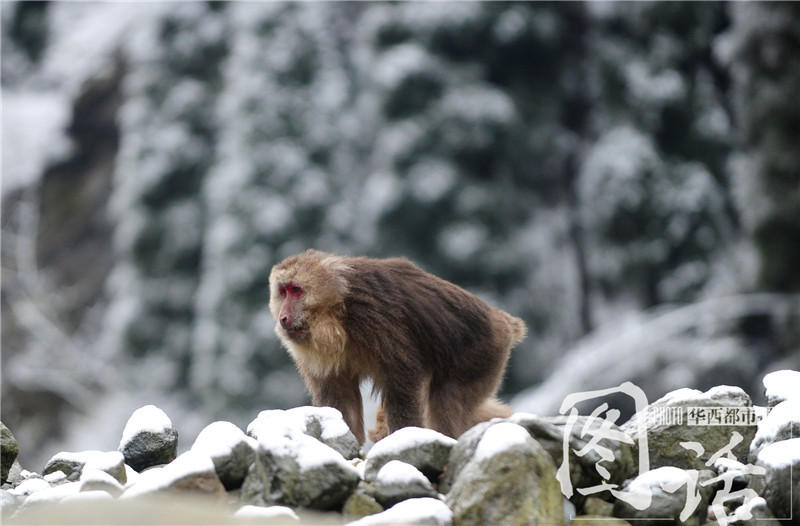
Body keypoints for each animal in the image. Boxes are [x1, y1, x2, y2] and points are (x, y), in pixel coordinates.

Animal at [272, 250, 528, 444]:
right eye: (283, 292)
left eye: (296, 290)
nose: (283, 317)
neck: (337, 312)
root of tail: (502, 320)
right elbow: (340, 397)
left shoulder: (375, 318)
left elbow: (401, 380)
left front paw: (403, 436)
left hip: (482, 355)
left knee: (445, 402)